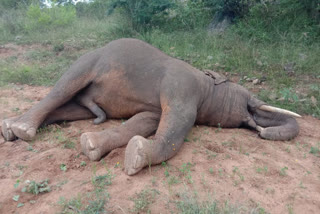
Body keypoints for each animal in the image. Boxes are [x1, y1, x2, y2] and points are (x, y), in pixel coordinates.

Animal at [0, 38, 300, 176]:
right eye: (247, 100)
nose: (261, 131)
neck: (208, 83)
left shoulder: (160, 106)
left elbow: (146, 120)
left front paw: (93, 146)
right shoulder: (182, 86)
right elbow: (177, 122)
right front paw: (136, 154)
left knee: (71, 108)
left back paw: (9, 128)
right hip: (88, 62)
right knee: (63, 88)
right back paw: (21, 129)